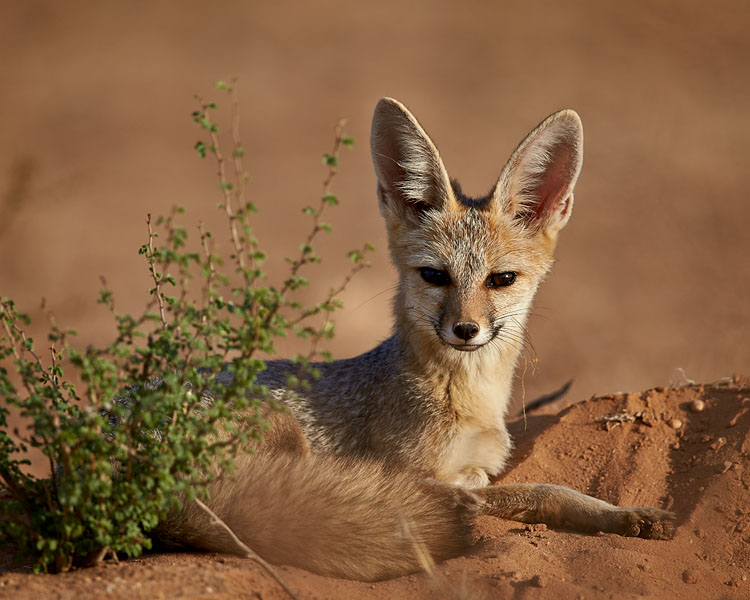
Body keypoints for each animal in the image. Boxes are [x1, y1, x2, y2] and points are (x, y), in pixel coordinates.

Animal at [155, 98, 675, 581]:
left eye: (501, 279)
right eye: (434, 276)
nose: (466, 330)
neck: (471, 399)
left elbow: (533, 488)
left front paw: (623, 515)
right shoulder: (419, 472)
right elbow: (528, 490)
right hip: (285, 435)